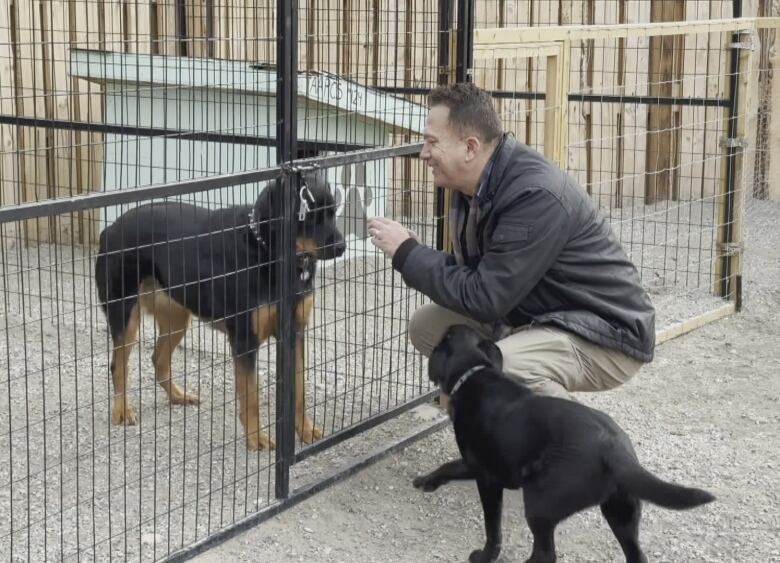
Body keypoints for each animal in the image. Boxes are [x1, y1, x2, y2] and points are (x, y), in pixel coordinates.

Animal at [94, 174, 344, 452]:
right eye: (308, 216)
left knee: (158, 360)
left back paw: (178, 396)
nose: (342, 247)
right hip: (126, 316)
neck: (268, 251)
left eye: (332, 212)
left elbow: (299, 390)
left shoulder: (296, 333)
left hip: (176, 318)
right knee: (118, 366)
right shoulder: (245, 341)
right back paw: (122, 410)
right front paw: (256, 438)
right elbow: (251, 396)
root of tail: (108, 230)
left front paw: (305, 430)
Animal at [414, 324, 712, 563]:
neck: (473, 373)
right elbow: (448, 466)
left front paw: (485, 555)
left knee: (546, 554)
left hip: (540, 504)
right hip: (621, 511)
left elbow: (492, 529)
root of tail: (615, 452)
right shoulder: (476, 464)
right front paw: (426, 480)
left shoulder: (488, 478)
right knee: (636, 556)